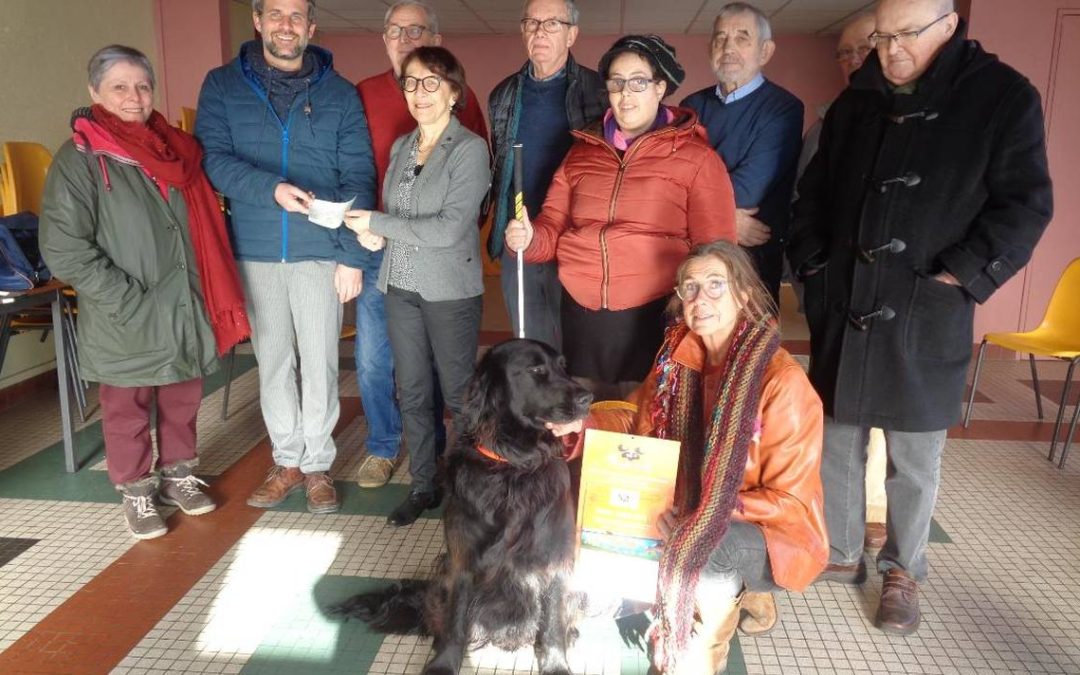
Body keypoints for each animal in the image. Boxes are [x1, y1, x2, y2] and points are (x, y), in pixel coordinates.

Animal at [332, 339, 596, 669]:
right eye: (536, 370)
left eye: (564, 366)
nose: (589, 398)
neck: (513, 465)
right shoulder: (461, 559)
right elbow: (456, 619)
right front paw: (444, 663)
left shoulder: (555, 556)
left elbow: (551, 622)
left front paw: (556, 663)